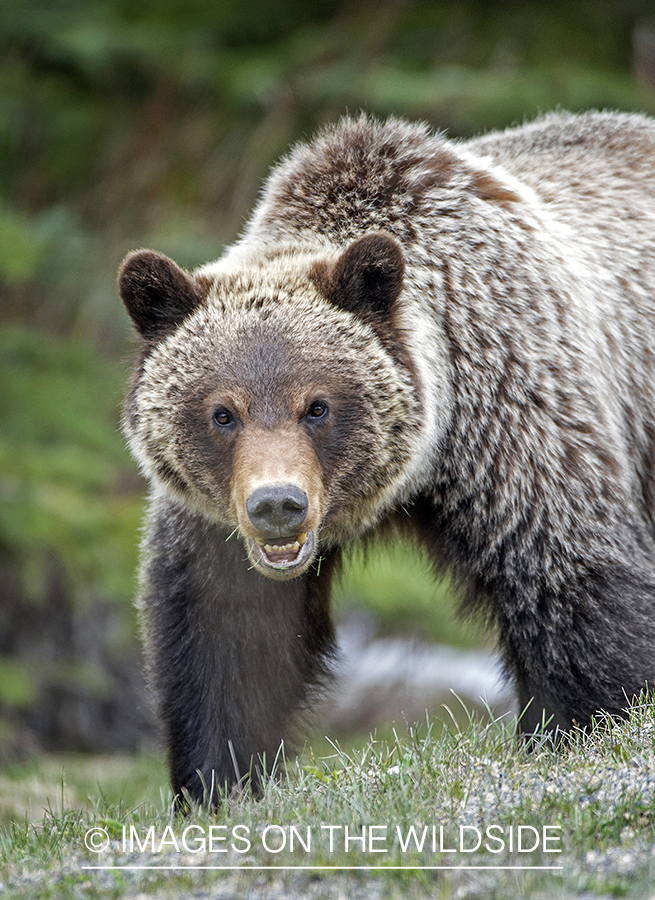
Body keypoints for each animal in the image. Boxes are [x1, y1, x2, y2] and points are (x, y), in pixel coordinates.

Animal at [119, 109, 655, 804]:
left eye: (316, 406)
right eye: (222, 413)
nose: (277, 505)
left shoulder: (514, 419)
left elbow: (571, 580)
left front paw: (588, 725)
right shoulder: (218, 528)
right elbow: (226, 639)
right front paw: (218, 782)